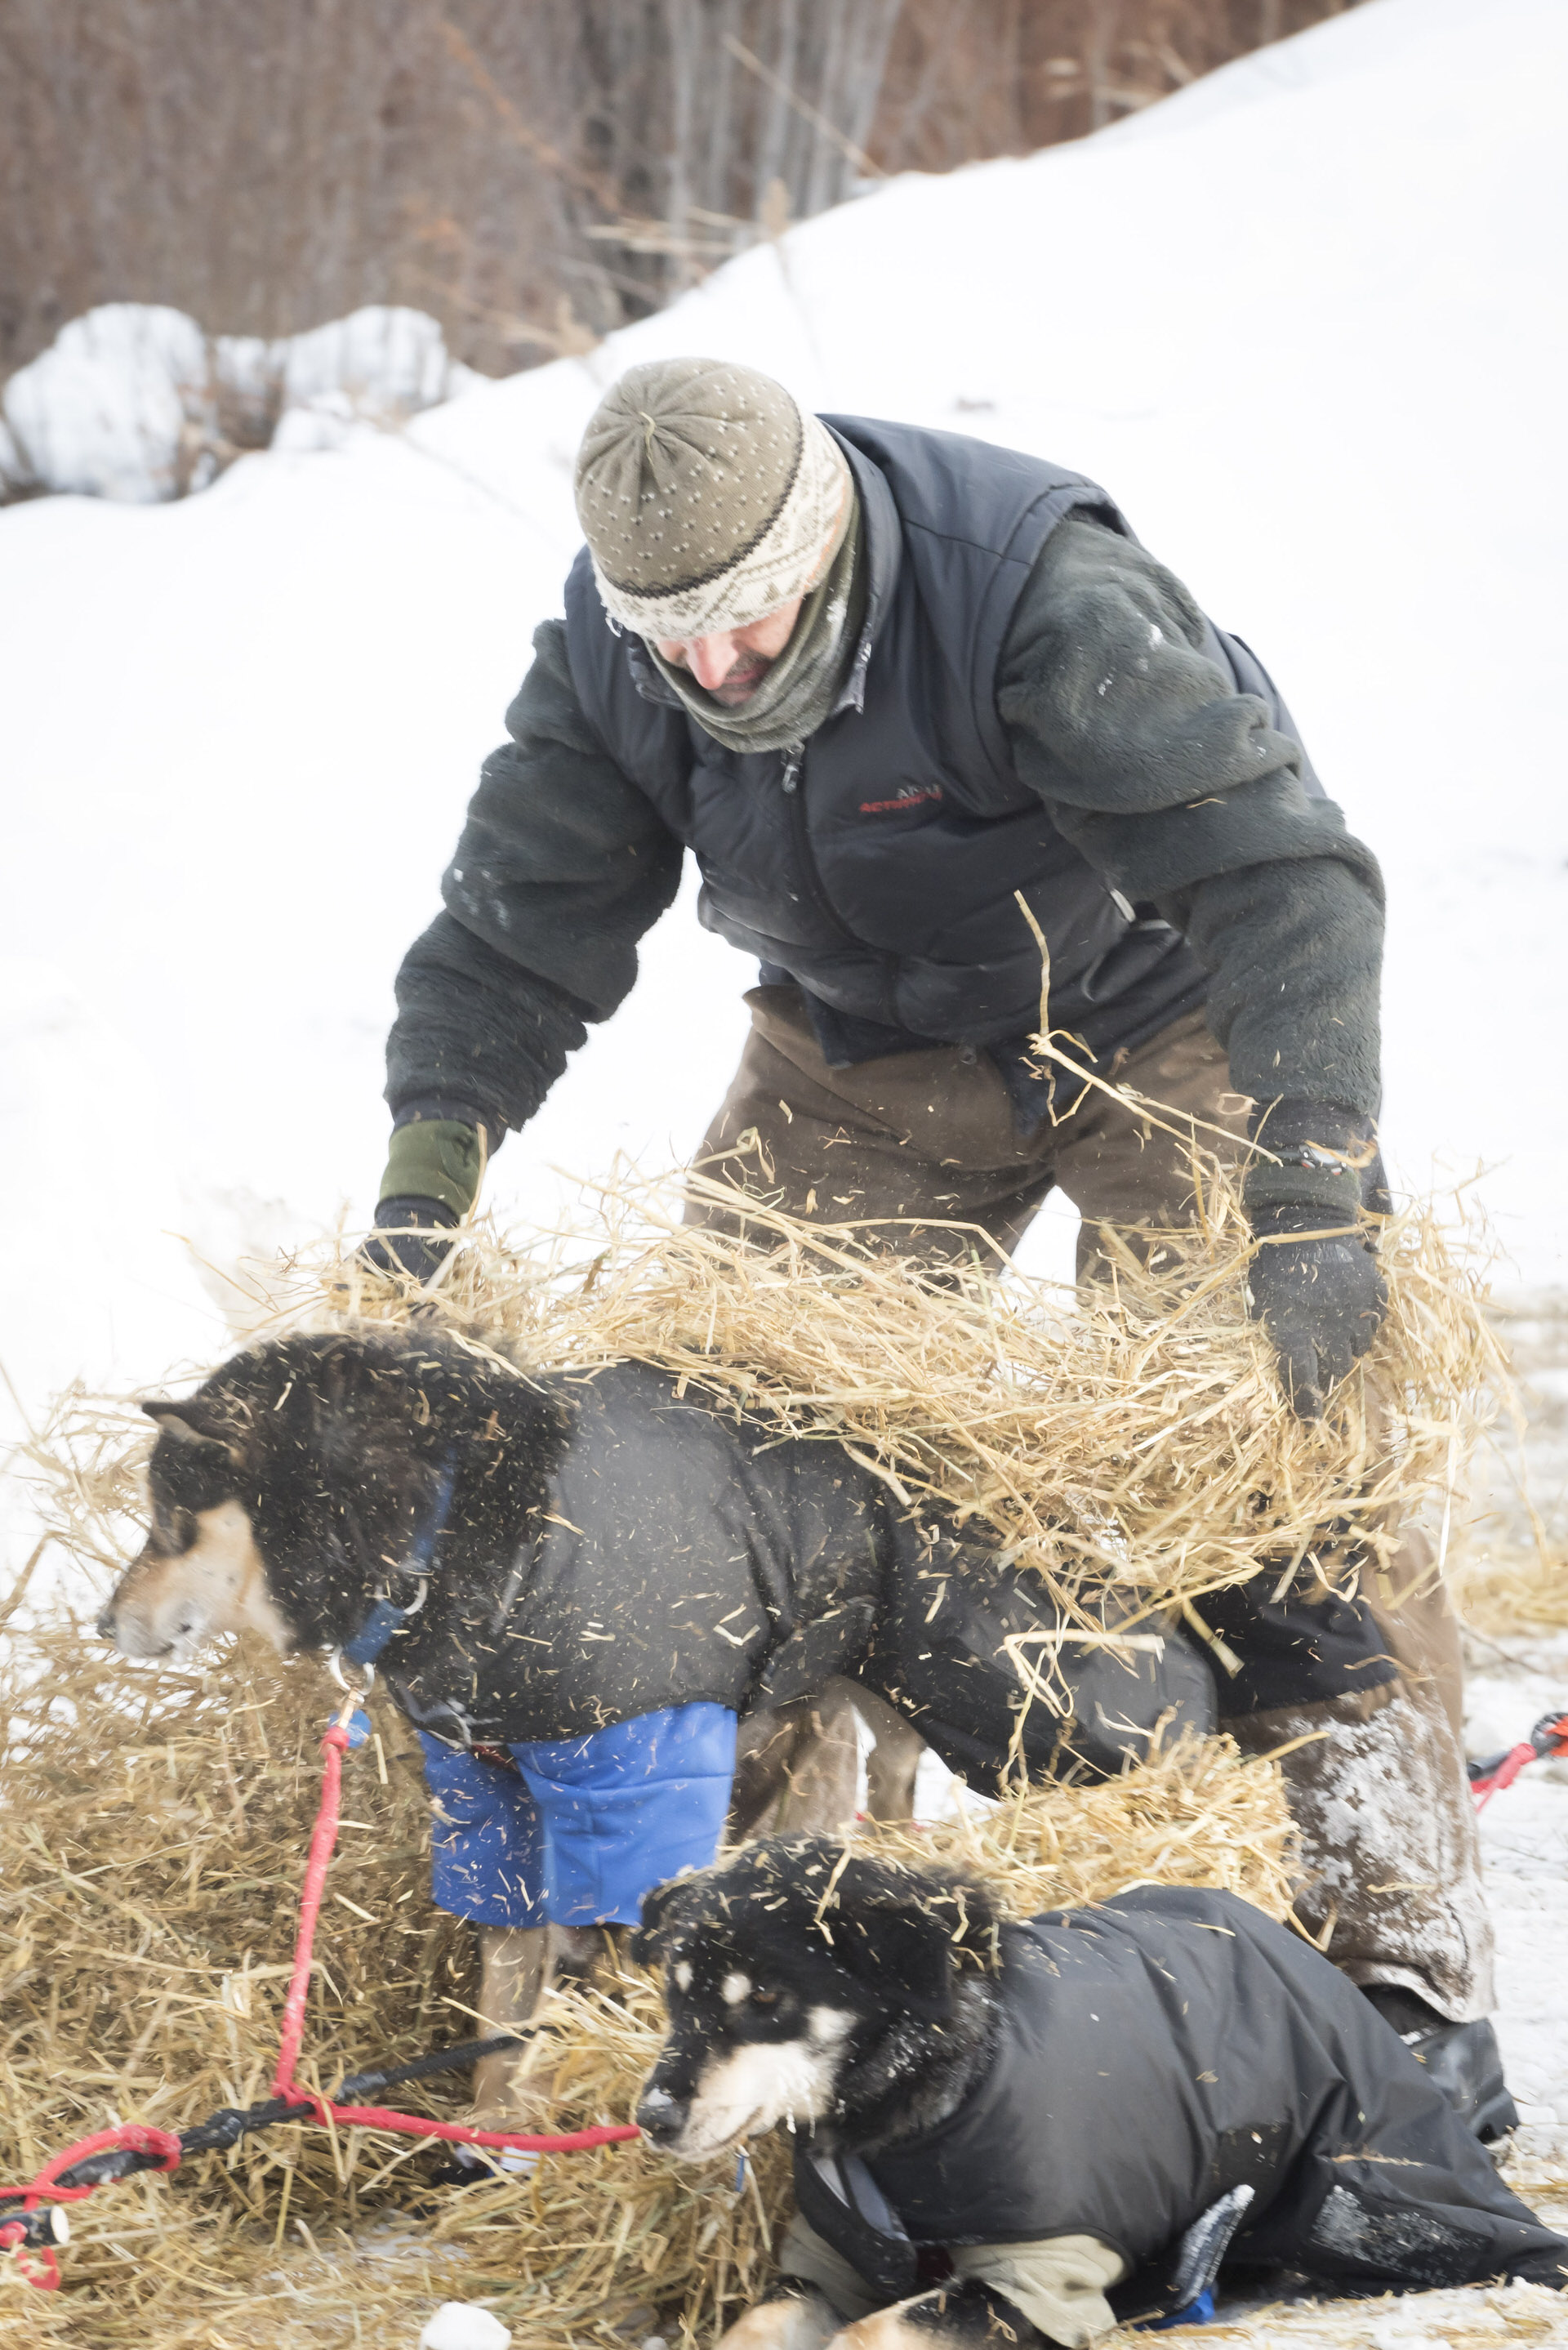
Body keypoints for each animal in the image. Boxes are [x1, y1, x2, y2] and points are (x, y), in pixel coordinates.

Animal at [633, 1838, 1567, 2349]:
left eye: (765, 1998)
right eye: (677, 1998)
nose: (652, 2117)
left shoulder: (1042, 2275)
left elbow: (878, 2328)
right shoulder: (833, 2260)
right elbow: (756, 2325)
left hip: (1377, 2184)